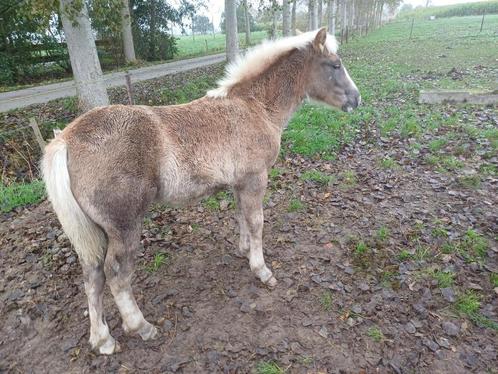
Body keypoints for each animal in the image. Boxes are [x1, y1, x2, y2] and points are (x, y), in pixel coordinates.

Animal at [41, 27, 358, 356]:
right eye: (335, 65)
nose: (356, 99)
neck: (255, 107)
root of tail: (65, 139)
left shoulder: (240, 183)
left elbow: (242, 217)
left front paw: (244, 249)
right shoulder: (255, 179)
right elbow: (257, 222)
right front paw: (261, 269)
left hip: (93, 232)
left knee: (92, 275)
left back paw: (103, 340)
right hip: (123, 226)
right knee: (115, 274)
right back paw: (141, 327)